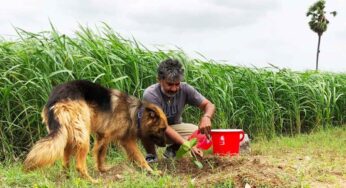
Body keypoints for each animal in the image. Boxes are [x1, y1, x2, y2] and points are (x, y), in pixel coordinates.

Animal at [23, 80, 168, 182]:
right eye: (162, 129)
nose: (165, 145)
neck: (136, 112)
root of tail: (56, 98)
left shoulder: (103, 136)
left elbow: (100, 154)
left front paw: (102, 169)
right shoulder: (125, 140)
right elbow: (140, 157)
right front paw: (152, 171)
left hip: (69, 135)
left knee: (65, 162)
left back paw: (67, 177)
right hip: (83, 137)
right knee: (79, 166)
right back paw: (91, 181)